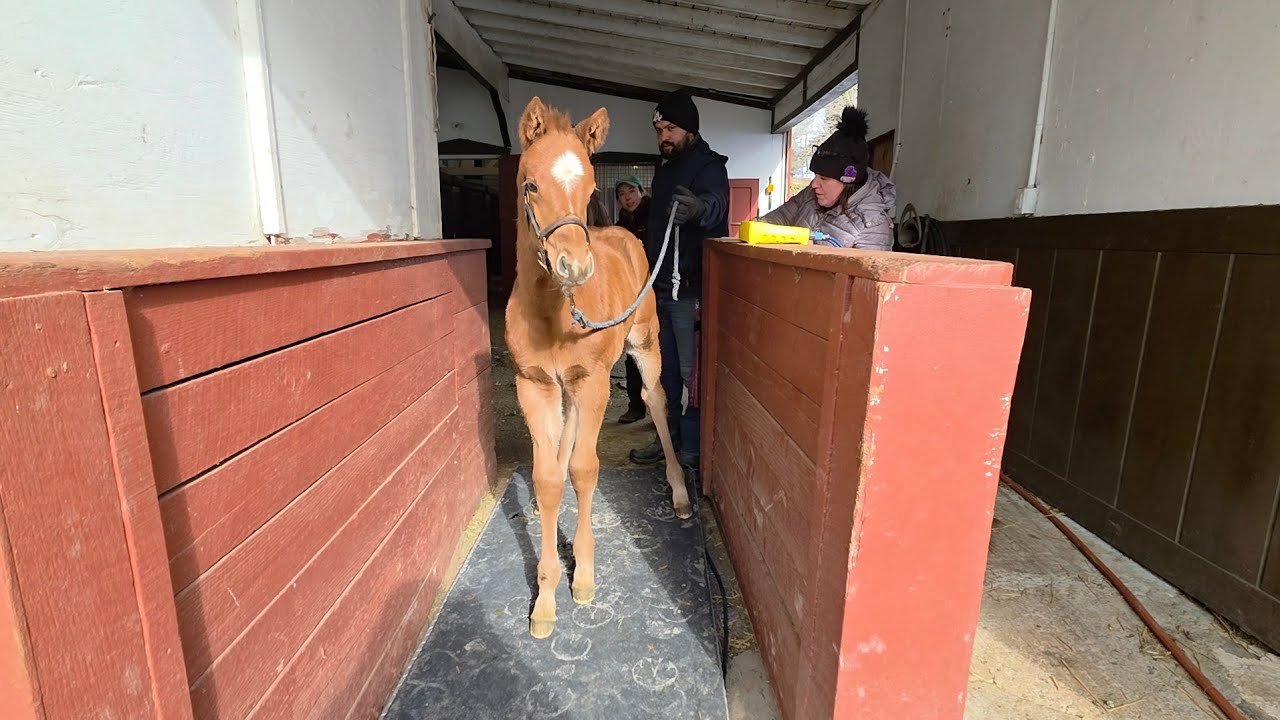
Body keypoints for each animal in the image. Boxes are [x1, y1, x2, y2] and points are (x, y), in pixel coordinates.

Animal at [505, 97, 692, 639]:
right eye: (530, 184)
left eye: (589, 189)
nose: (574, 267)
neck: (553, 313)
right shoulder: (534, 386)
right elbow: (548, 477)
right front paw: (545, 598)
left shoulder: (593, 386)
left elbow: (585, 470)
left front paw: (583, 577)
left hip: (646, 345)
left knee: (656, 400)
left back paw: (679, 494)